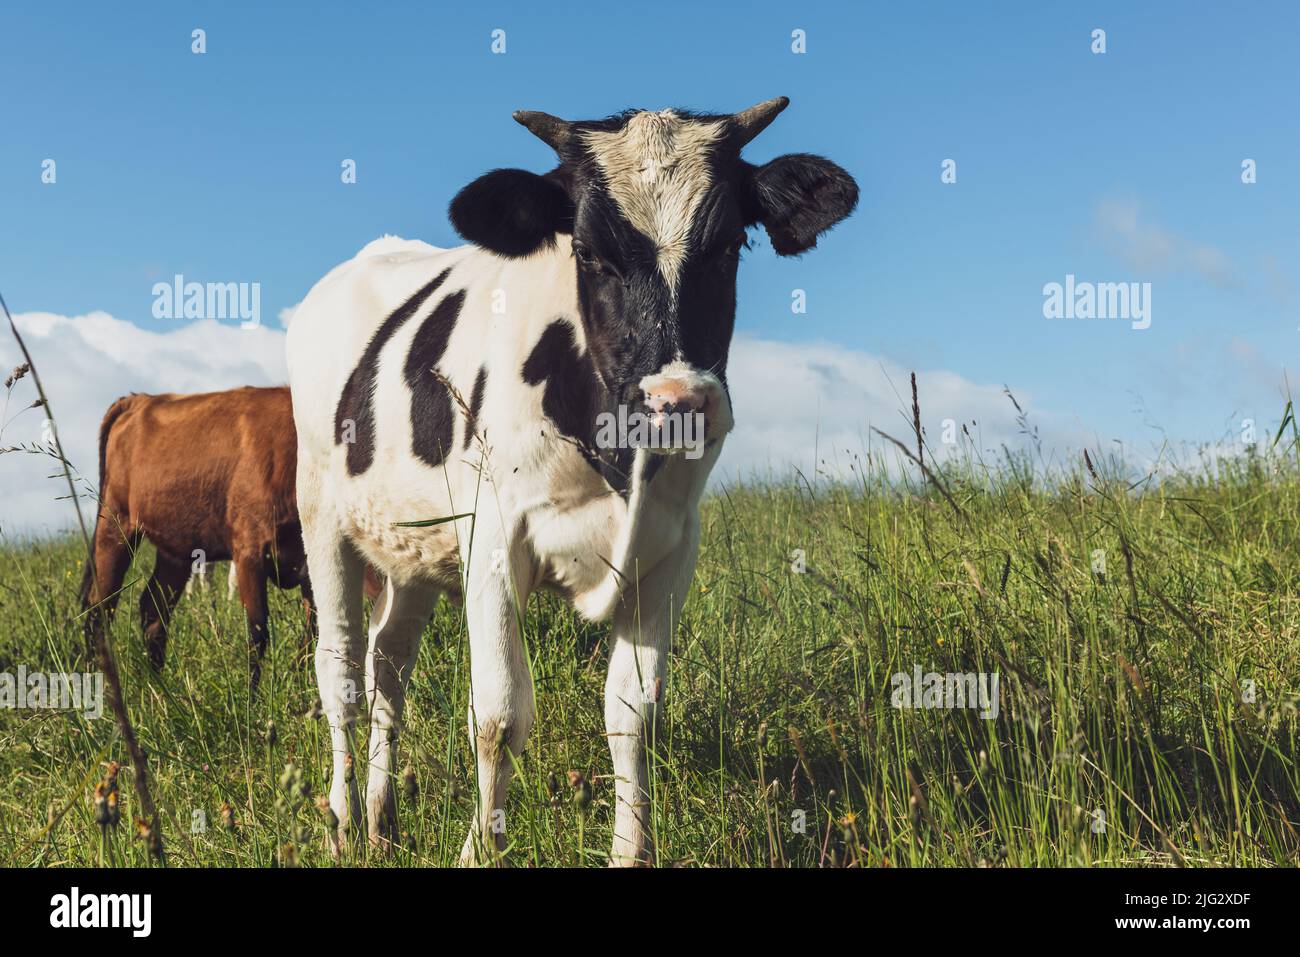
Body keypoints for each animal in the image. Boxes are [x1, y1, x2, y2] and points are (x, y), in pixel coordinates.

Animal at [80, 386, 313, 690]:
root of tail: (139, 400)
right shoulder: (249, 552)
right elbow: (257, 633)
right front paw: (254, 698)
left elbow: (314, 635)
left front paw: (300, 685)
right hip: (115, 525)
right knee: (99, 607)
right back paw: (95, 680)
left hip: (176, 550)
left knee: (153, 610)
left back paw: (157, 686)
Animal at [286, 96, 858, 864]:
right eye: (588, 252)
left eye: (731, 244)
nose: (677, 400)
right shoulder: (494, 540)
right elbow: (498, 714)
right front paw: (479, 848)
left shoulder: (671, 551)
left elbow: (633, 713)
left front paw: (630, 851)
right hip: (320, 512)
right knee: (341, 670)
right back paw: (344, 823)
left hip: (416, 549)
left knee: (388, 665)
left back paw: (382, 820)